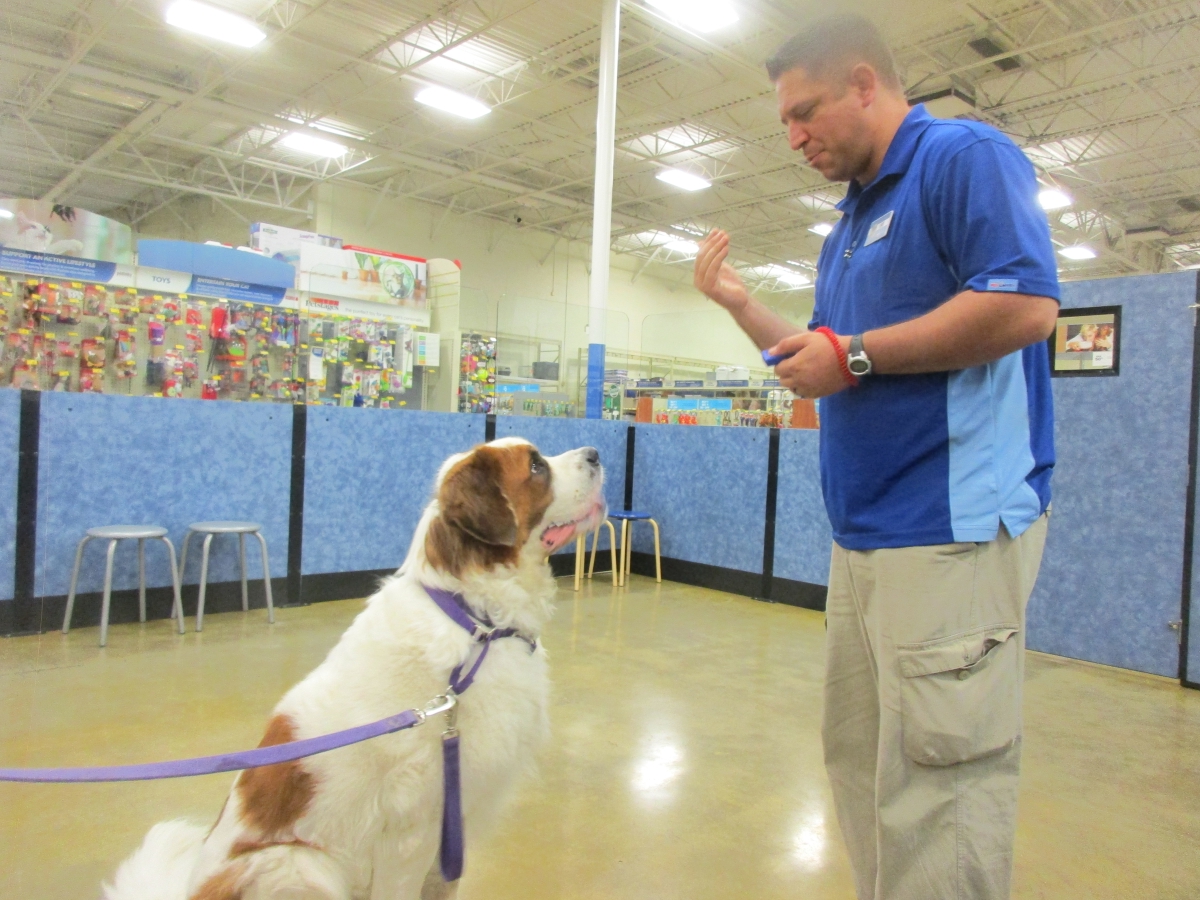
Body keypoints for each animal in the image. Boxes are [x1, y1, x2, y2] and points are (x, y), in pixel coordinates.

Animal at [104, 438, 606, 900]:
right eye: (536, 467)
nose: (596, 452)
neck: (476, 623)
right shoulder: (411, 834)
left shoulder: (450, 840)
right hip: (300, 865)